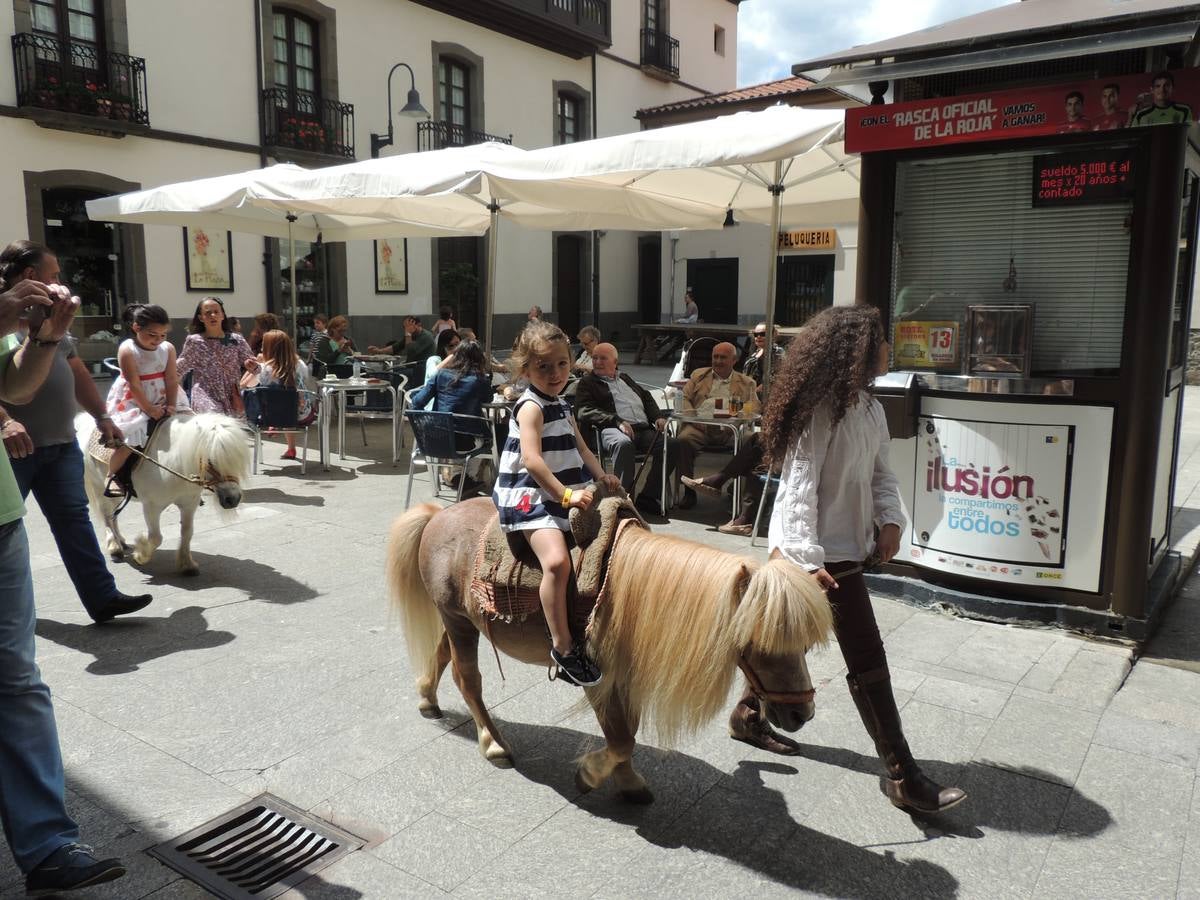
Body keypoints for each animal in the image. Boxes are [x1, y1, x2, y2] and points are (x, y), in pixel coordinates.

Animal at [75, 412, 253, 573]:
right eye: (210, 460)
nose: (233, 499)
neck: (175, 462)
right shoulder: (151, 506)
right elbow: (156, 537)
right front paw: (140, 554)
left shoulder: (189, 504)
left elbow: (187, 532)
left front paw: (186, 564)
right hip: (98, 488)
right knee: (107, 516)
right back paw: (115, 548)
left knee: (114, 516)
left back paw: (122, 542)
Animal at [388, 501, 830, 801]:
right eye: (761, 643)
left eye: (805, 643)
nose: (802, 714)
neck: (624, 593)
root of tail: (437, 514)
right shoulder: (598, 678)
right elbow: (619, 739)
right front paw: (593, 774)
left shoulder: (624, 674)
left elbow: (627, 732)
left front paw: (627, 781)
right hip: (458, 620)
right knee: (468, 680)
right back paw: (493, 743)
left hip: (460, 620)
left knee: (443, 656)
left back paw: (427, 698)